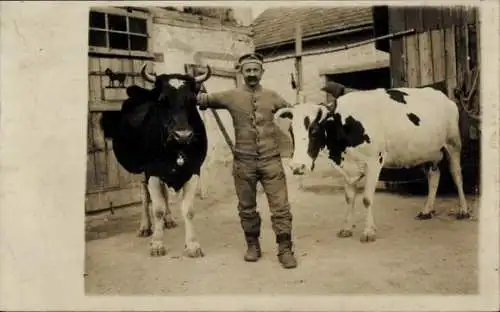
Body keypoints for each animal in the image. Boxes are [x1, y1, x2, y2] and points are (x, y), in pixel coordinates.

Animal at [100, 63, 212, 256]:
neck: (176, 149)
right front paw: (157, 243)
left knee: (164, 194)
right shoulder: (152, 171)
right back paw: (145, 227)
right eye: (162, 100)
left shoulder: (193, 169)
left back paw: (169, 220)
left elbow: (188, 210)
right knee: (145, 197)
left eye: (192, 100)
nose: (183, 135)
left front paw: (192, 244)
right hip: (139, 170)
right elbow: (157, 209)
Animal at [276, 86, 470, 244]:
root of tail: (443, 96)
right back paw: (427, 210)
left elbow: (367, 199)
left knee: (457, 175)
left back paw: (463, 210)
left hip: (453, 143)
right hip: (426, 152)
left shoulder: (374, 162)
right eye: (291, 131)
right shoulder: (347, 167)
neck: (345, 125)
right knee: (434, 175)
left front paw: (368, 231)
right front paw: (346, 228)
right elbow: (349, 198)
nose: (297, 166)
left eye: (314, 130)